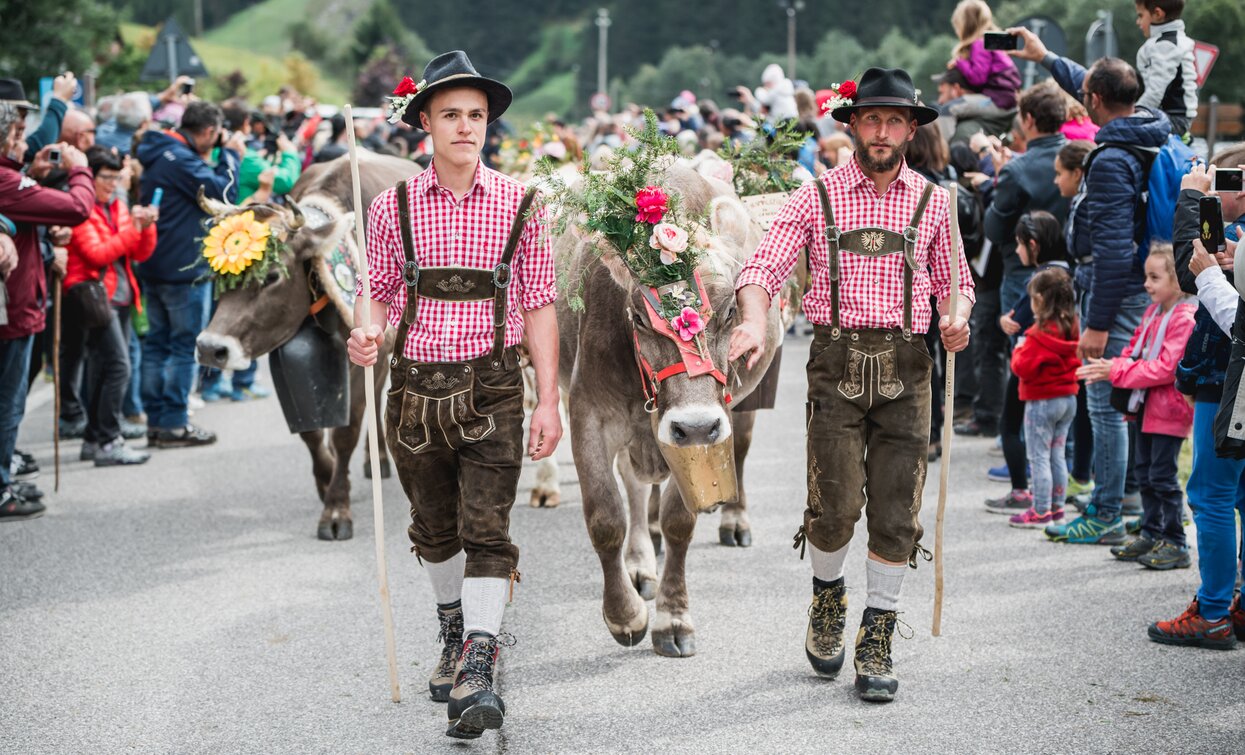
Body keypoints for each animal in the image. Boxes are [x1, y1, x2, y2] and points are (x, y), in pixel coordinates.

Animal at [194, 153, 418, 540]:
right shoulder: (283, 348)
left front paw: (336, 509)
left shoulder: (368, 352)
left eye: (271, 277)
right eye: (216, 276)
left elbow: (346, 431)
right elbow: (311, 432)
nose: (210, 348)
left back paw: (378, 460)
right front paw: (326, 478)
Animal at [535, 112, 776, 657]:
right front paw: (625, 615)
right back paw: (640, 564)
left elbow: (679, 522)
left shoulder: (709, 424)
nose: (694, 426)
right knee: (631, 484)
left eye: (729, 312)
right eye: (641, 318)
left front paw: (673, 619)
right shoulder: (589, 411)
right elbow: (606, 516)